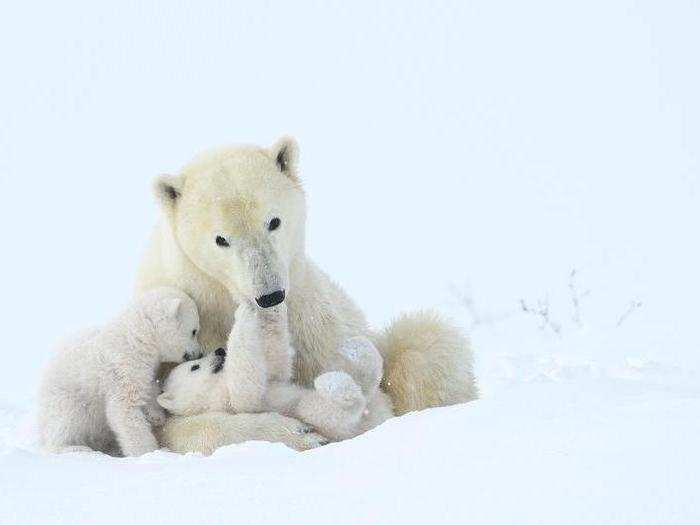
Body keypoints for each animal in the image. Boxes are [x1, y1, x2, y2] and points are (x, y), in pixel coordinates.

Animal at [38, 286, 202, 454]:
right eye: (194, 331)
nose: (200, 353)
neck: (137, 337)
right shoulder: (123, 366)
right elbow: (124, 409)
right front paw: (150, 451)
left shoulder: (143, 367)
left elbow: (148, 387)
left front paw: (156, 416)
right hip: (66, 398)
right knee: (67, 421)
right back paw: (74, 447)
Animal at [157, 298, 394, 442]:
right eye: (194, 366)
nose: (220, 351)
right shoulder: (225, 401)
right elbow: (246, 387)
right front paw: (243, 313)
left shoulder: (272, 377)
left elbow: (275, 363)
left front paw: (273, 309)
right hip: (314, 417)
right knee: (328, 411)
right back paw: (334, 384)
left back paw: (358, 350)